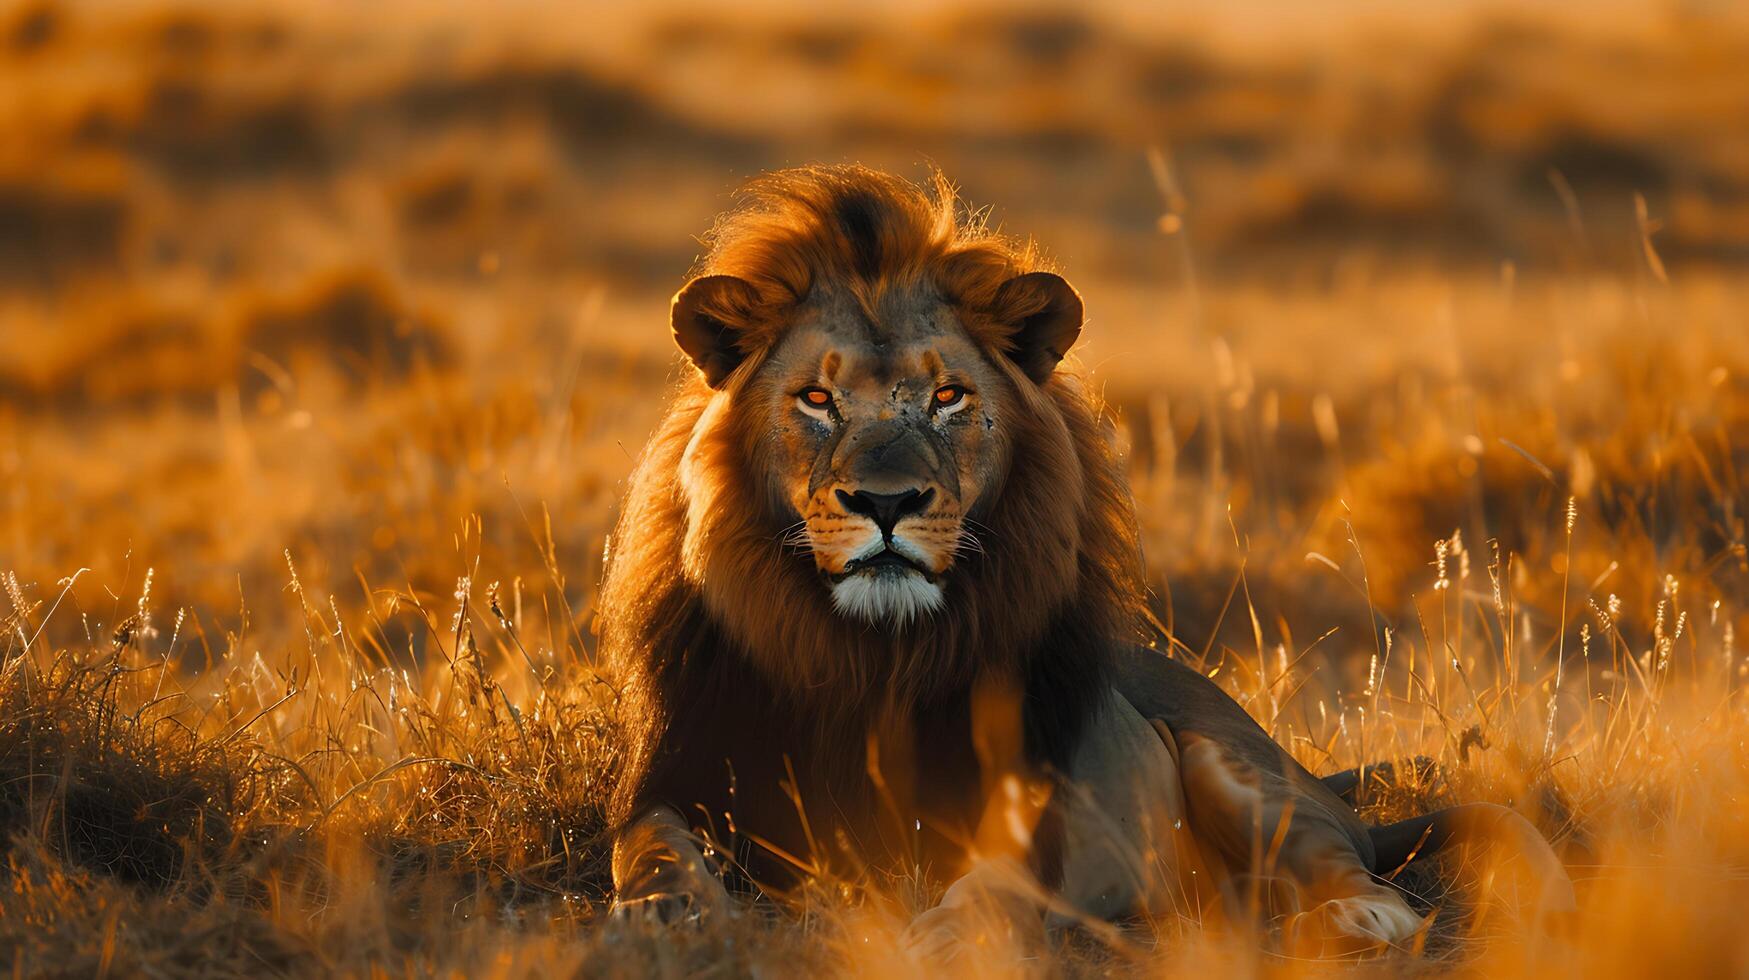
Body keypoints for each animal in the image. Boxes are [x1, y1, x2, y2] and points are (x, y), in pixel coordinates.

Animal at [601, 164, 1574, 952]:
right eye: (814, 398)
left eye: (948, 397)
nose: (886, 503)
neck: (866, 657)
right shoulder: (678, 779)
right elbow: (649, 849)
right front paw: (665, 914)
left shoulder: (1034, 804)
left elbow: (993, 888)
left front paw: (948, 938)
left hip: (1239, 769)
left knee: (1356, 871)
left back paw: (1355, 918)